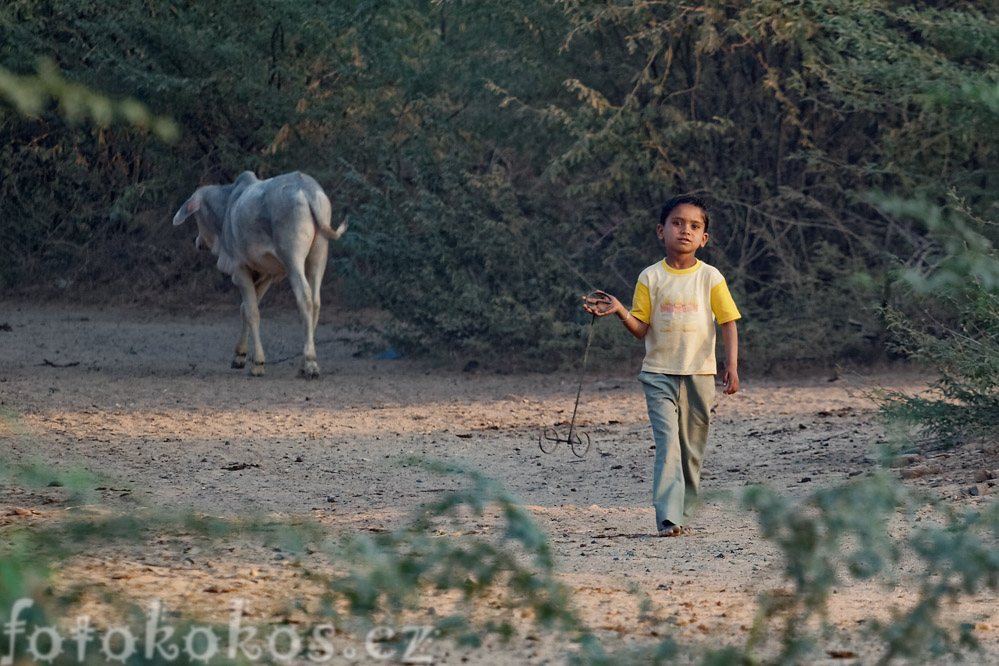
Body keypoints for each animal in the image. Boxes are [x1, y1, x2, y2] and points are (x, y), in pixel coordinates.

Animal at [170, 170, 346, 378]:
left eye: (197, 216)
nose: (198, 241)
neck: (229, 204)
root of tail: (306, 188)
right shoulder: (265, 274)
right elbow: (244, 308)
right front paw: (239, 356)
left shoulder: (240, 271)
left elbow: (252, 312)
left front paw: (258, 363)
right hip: (319, 256)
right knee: (316, 302)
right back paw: (304, 364)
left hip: (293, 258)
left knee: (305, 298)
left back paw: (310, 362)